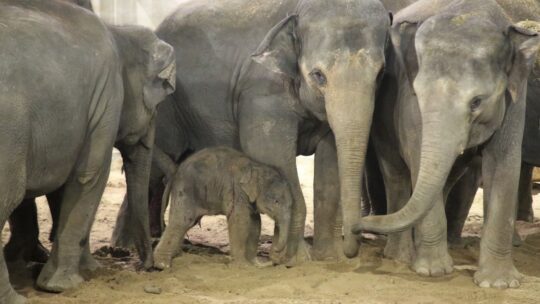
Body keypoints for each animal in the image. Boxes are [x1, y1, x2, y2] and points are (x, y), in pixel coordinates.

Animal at [0, 0, 173, 302]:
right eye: (156, 108)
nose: (151, 267)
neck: (118, 31)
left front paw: (88, 271)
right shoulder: (106, 100)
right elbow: (89, 175)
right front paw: (62, 285)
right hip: (11, 129)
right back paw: (14, 298)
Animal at [152, 147, 294, 268]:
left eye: (290, 204)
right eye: (276, 201)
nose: (274, 260)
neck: (256, 166)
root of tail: (176, 172)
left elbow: (255, 223)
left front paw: (256, 265)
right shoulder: (236, 190)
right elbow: (240, 221)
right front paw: (243, 266)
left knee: (185, 222)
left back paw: (175, 256)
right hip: (186, 190)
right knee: (182, 221)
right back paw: (162, 265)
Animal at [352, 0, 540, 288]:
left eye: (477, 102)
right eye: (418, 93)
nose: (355, 227)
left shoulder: (515, 103)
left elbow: (504, 165)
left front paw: (499, 284)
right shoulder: (408, 105)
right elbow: (418, 158)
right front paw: (432, 271)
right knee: (396, 173)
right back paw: (400, 256)